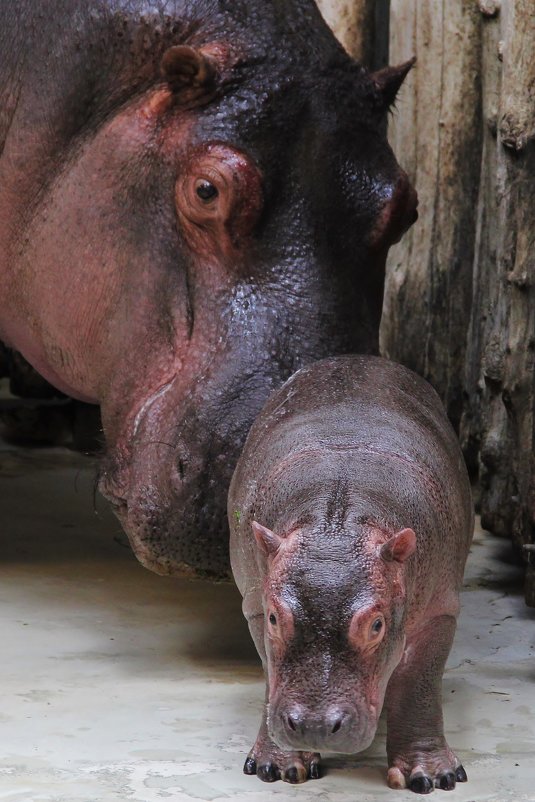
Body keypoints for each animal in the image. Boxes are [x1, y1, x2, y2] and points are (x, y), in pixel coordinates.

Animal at [229, 354, 474, 792]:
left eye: (376, 625)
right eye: (274, 618)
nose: (313, 725)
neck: (336, 520)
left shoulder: (440, 610)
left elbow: (421, 685)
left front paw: (435, 777)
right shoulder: (254, 605)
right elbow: (270, 671)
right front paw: (278, 768)